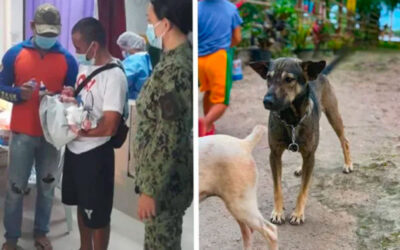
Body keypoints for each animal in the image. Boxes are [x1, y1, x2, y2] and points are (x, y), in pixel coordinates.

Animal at [252, 58, 352, 225]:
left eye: (289, 79)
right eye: (268, 77)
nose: (267, 101)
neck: (291, 118)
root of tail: (320, 73)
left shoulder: (310, 154)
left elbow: (303, 190)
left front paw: (298, 213)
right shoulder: (274, 155)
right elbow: (277, 188)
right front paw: (278, 212)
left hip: (333, 114)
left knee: (344, 140)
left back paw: (348, 164)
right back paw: (300, 168)